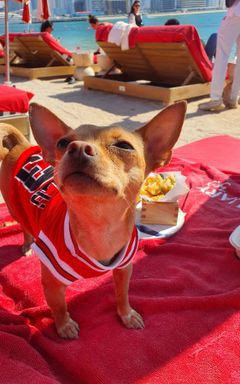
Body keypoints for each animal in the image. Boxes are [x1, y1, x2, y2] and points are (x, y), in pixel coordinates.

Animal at [0, 100, 187, 338]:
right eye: (63, 143)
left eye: (124, 146)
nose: (78, 147)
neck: (100, 226)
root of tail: (21, 145)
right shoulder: (51, 284)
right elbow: (58, 306)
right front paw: (64, 326)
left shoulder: (124, 269)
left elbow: (122, 294)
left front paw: (126, 314)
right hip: (15, 207)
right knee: (24, 226)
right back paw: (27, 245)